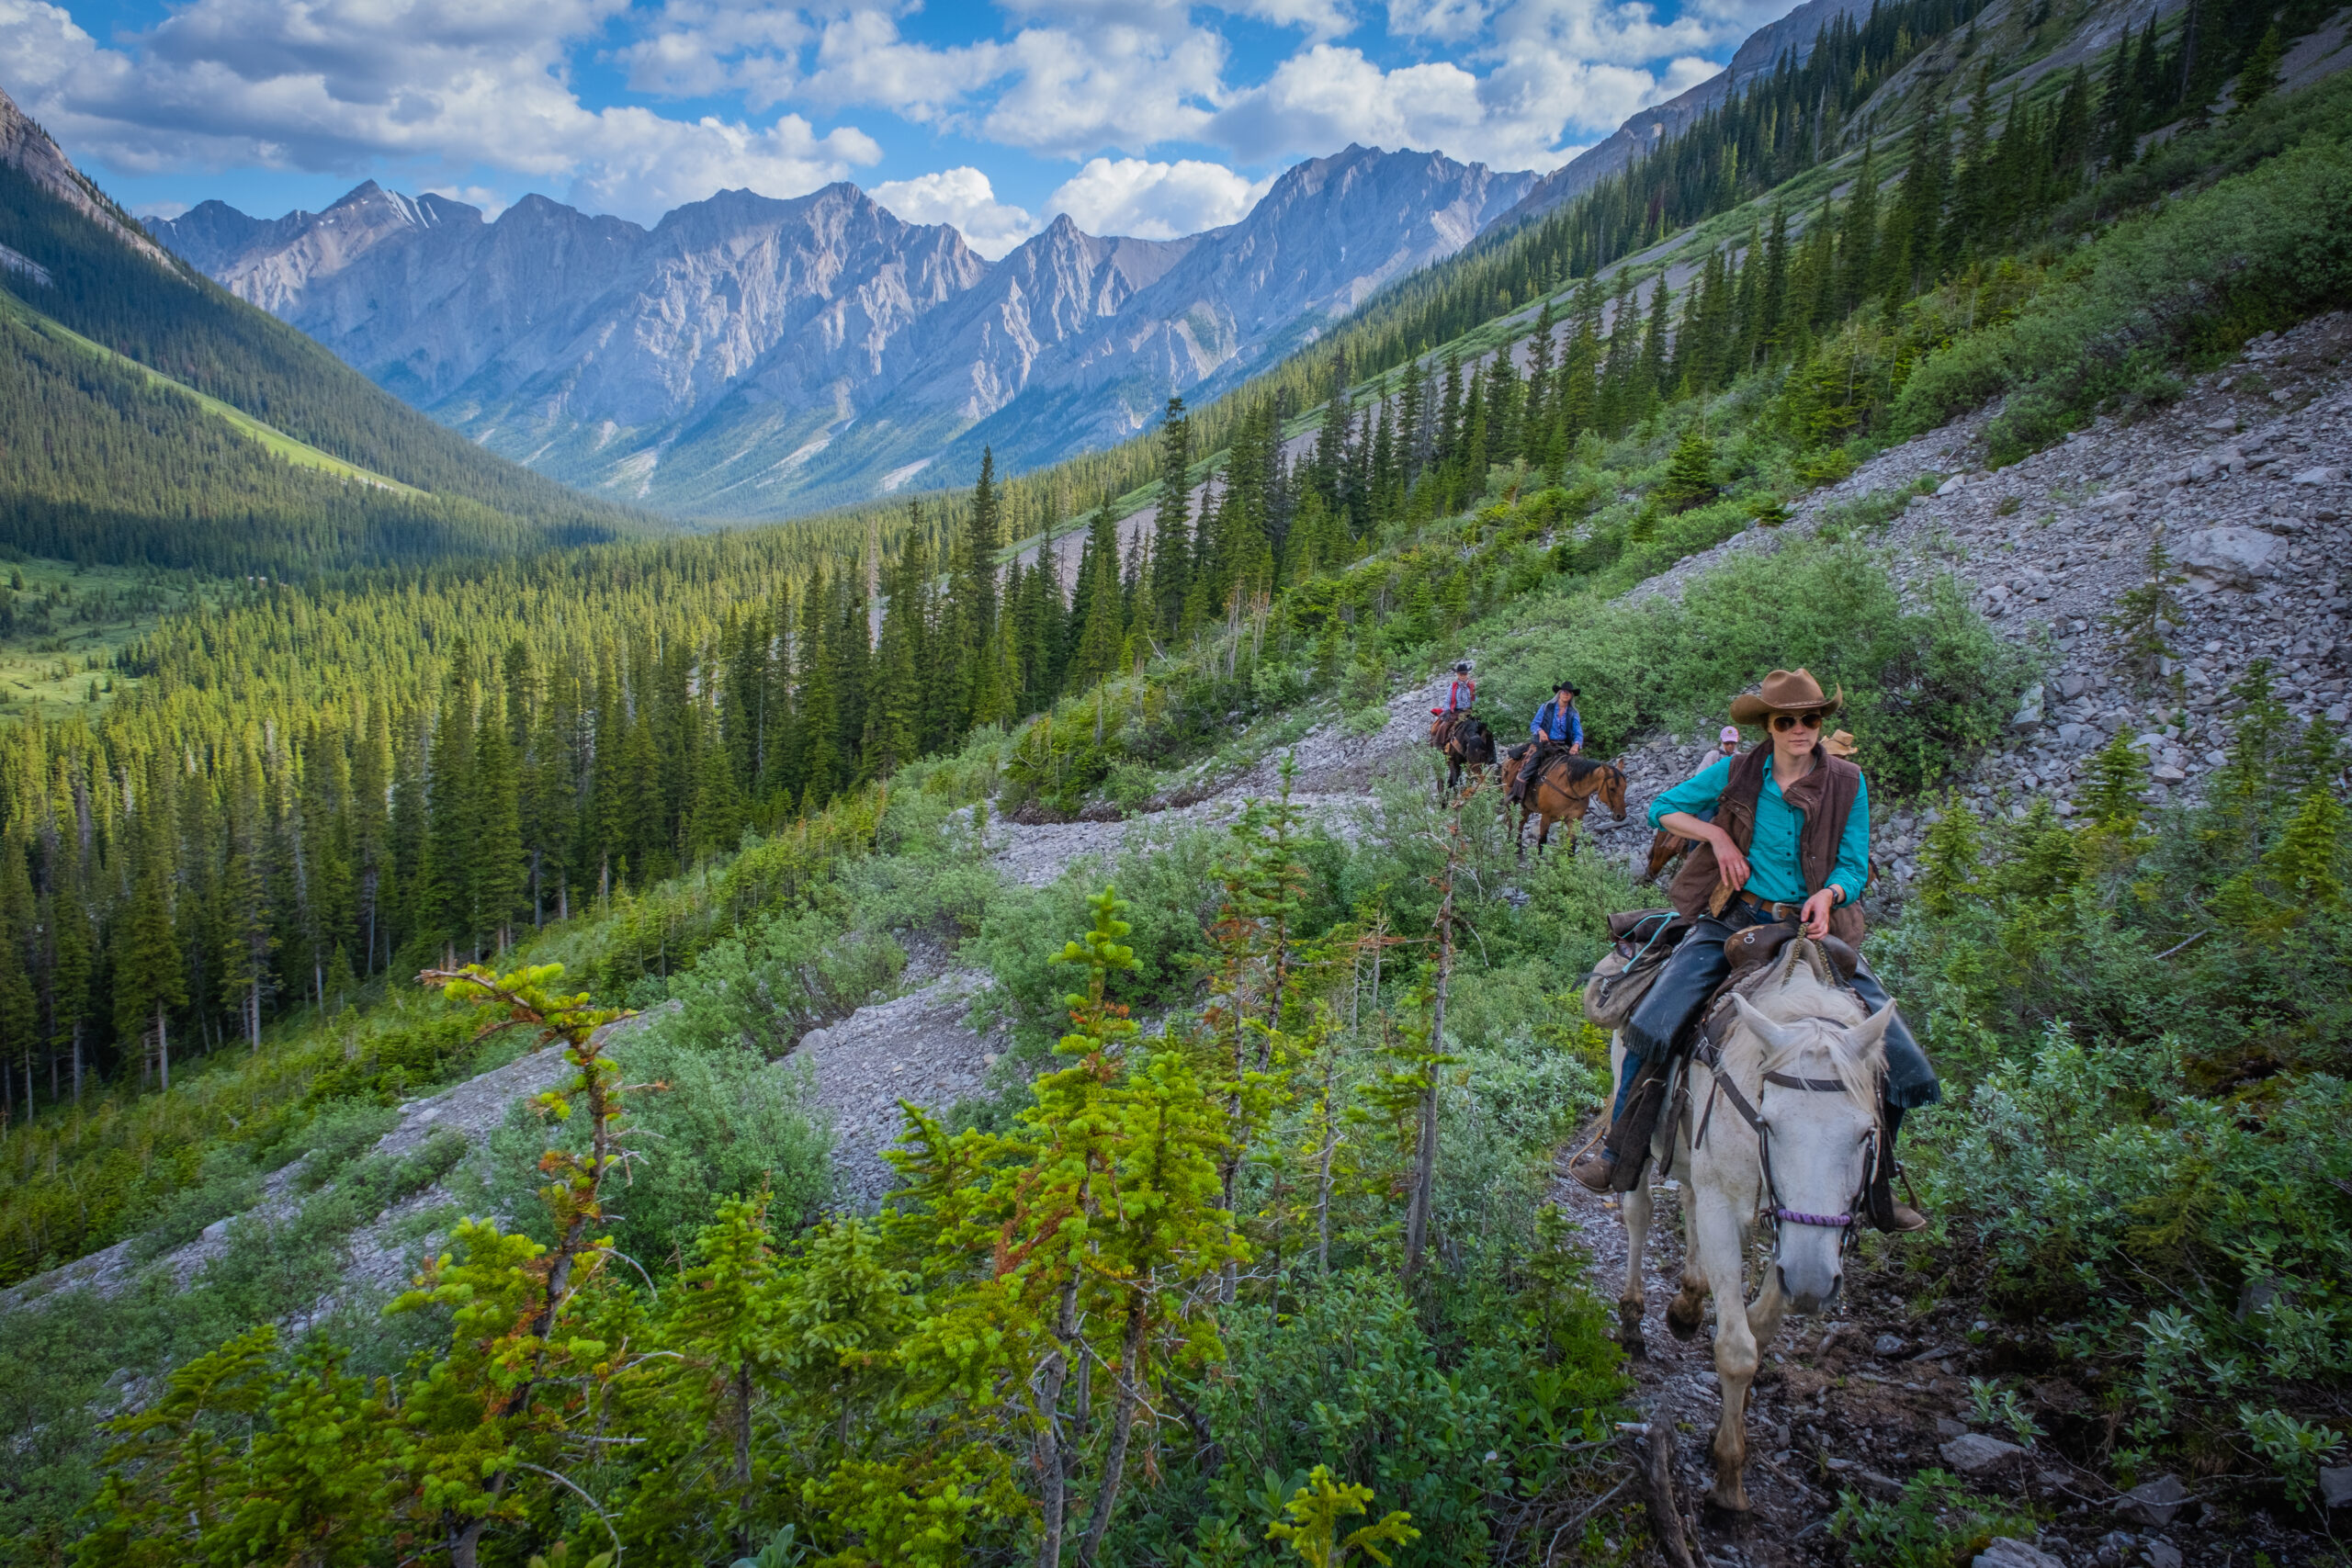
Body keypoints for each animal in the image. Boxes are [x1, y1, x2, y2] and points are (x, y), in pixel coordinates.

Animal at [1496, 751, 1627, 860]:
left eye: (1625, 787)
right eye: (1612, 788)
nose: (1620, 816)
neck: (1570, 788)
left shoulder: (1574, 820)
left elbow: (1572, 846)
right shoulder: (1546, 817)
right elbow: (1542, 841)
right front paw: (1538, 865)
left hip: (1527, 806)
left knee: (1521, 823)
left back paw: (1518, 848)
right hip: (1511, 800)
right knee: (1511, 820)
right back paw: (1510, 844)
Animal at [1618, 940, 1891, 1514]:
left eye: (1866, 1133)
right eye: (1769, 1123)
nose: (1811, 1284)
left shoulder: (1802, 1237)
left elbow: (1760, 1331)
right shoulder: (1728, 1208)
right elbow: (1737, 1350)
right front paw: (1727, 1478)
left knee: (1688, 1198)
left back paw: (1688, 1301)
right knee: (1640, 1210)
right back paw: (1633, 1319)